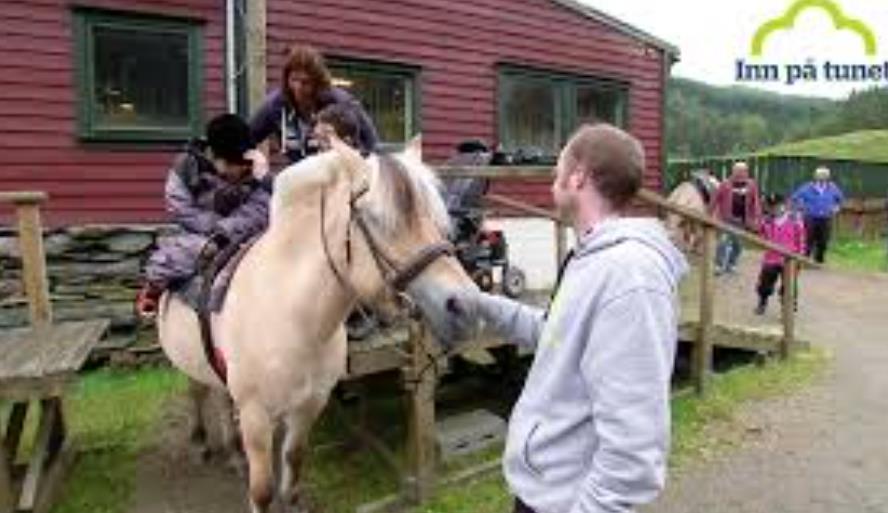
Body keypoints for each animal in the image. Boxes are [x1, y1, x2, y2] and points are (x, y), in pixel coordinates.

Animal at [156, 138, 482, 510]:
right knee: (196, 391)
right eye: (376, 218)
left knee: (222, 398)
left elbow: (294, 463)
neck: (295, 321)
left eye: (438, 218)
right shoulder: (256, 418)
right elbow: (263, 491)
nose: (466, 307)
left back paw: (234, 455)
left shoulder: (308, 406)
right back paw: (200, 441)